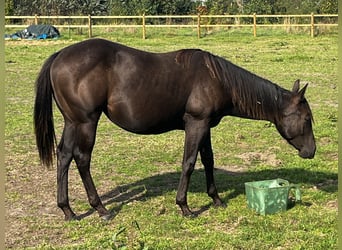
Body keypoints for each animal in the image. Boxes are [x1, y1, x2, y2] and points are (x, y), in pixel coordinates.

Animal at [34, 38, 316, 220]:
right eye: (307, 118)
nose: (311, 151)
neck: (217, 79)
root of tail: (60, 56)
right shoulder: (196, 124)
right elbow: (189, 162)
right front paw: (185, 207)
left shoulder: (205, 125)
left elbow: (208, 160)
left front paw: (216, 199)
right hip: (86, 122)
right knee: (82, 159)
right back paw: (100, 208)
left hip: (72, 122)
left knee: (64, 156)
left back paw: (68, 210)